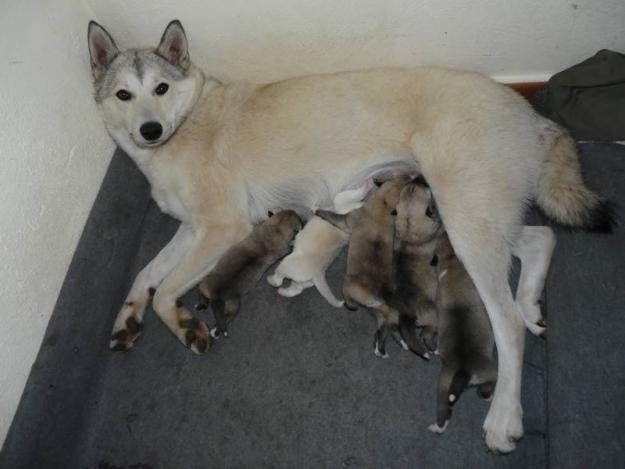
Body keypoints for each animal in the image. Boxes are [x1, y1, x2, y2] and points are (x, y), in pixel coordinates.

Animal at [426, 232, 494, 434]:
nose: (443, 229)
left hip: (444, 385)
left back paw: (438, 426)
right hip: (483, 373)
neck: (451, 262)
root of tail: (465, 370)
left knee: (444, 411)